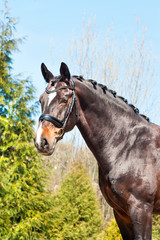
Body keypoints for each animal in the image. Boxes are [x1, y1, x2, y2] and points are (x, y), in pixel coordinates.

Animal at [34, 62, 160, 240]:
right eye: (41, 100)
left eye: (64, 99)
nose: (41, 141)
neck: (128, 145)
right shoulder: (121, 213)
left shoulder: (142, 209)